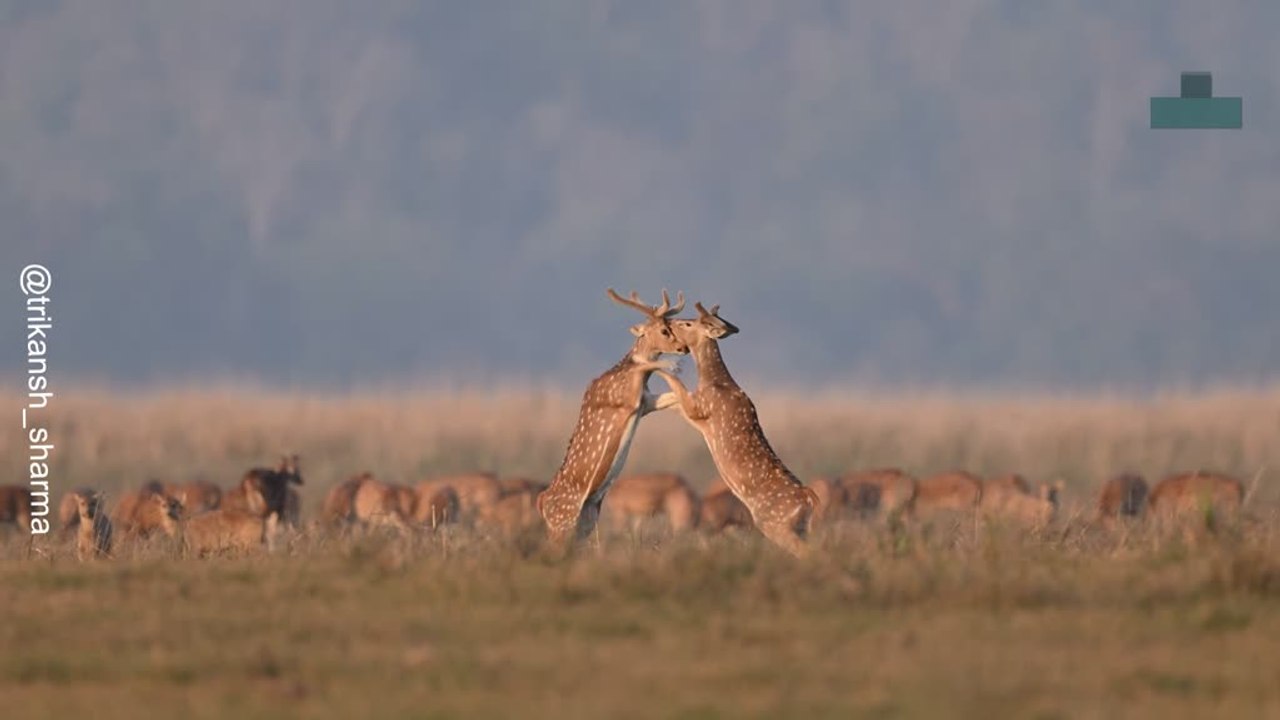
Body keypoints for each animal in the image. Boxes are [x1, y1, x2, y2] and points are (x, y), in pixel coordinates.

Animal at [536, 289, 690, 548]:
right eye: (663, 330)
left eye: (672, 327)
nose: (684, 348)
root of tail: (540, 503)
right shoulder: (625, 398)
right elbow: (645, 364)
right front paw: (672, 364)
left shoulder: (646, 402)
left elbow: (674, 396)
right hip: (563, 521)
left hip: (585, 521)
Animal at [648, 302, 819, 558]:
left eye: (688, 323)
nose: (669, 323)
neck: (715, 381)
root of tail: (809, 500)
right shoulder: (695, 411)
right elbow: (675, 402)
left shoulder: (701, 407)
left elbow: (678, 389)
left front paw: (656, 367)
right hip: (799, 528)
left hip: (775, 524)